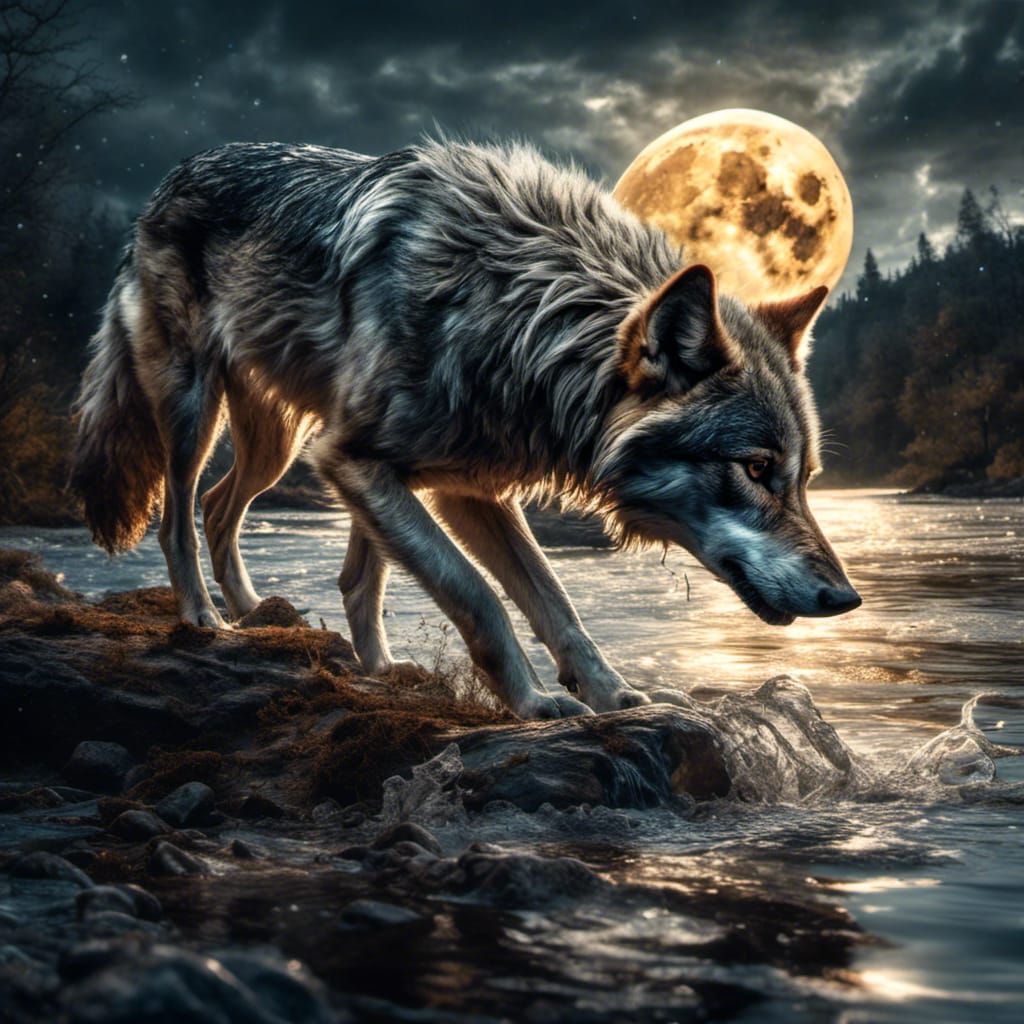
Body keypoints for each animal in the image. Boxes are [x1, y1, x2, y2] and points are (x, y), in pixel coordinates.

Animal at [71, 138, 861, 720]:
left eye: (804, 480)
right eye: (755, 469)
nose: (846, 600)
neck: (519, 312)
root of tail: (167, 182)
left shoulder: (464, 488)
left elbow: (553, 599)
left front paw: (610, 695)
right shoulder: (357, 462)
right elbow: (476, 595)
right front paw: (535, 703)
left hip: (281, 444)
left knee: (238, 516)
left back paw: (292, 628)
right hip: (201, 414)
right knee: (178, 514)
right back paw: (206, 618)